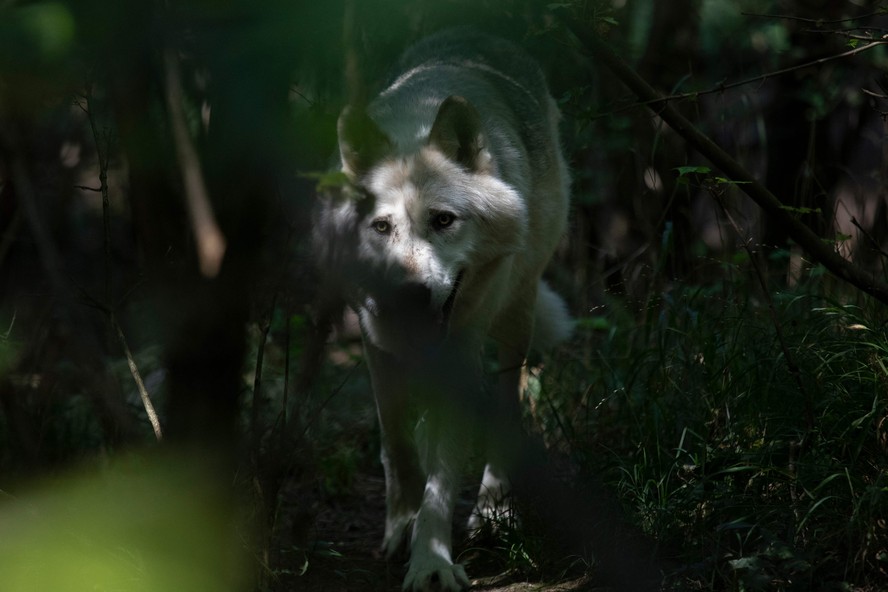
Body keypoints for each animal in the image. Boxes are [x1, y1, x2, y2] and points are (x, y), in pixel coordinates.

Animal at [314, 28, 572, 591]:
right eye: (382, 226)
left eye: (444, 220)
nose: (410, 293)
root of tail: (477, 30)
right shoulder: (375, 339)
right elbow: (397, 443)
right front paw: (401, 527)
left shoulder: (460, 349)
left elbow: (443, 471)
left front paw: (430, 560)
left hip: (516, 313)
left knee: (506, 406)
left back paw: (495, 510)